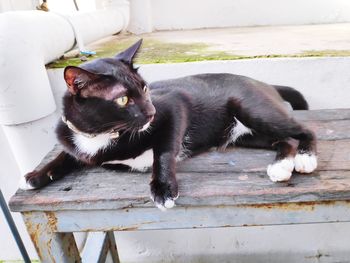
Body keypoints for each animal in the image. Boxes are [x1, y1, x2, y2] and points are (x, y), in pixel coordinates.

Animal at [20, 39, 318, 211]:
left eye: (145, 88)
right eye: (123, 99)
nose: (151, 112)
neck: (103, 135)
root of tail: (264, 83)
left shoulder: (174, 107)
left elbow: (163, 151)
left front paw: (162, 188)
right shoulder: (76, 140)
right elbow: (64, 156)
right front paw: (36, 175)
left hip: (253, 110)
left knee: (304, 130)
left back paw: (305, 158)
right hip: (245, 134)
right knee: (284, 140)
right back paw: (281, 166)